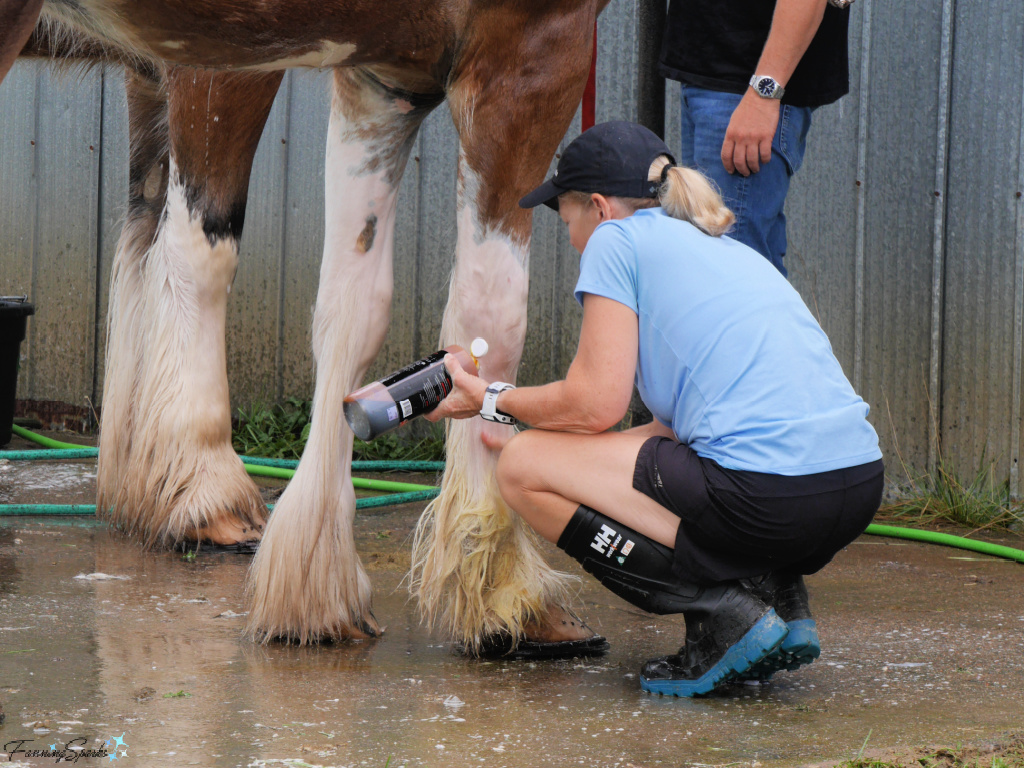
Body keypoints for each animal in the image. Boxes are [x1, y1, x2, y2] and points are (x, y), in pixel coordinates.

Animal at [1, 0, 609, 653]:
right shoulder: (525, 51)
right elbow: (490, 315)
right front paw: (502, 585)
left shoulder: (382, 80)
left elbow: (351, 307)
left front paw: (314, 579)